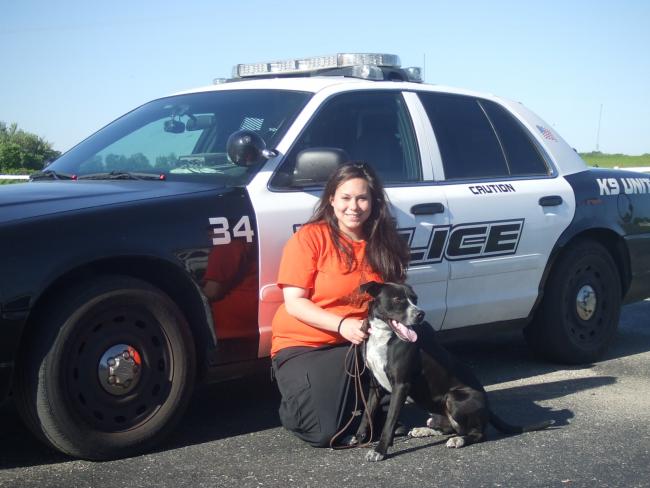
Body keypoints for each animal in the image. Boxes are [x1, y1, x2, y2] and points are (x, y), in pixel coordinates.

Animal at [354, 281, 554, 462]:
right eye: (397, 299)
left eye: (415, 299)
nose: (421, 314)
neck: (384, 336)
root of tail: (488, 407)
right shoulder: (375, 387)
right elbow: (367, 414)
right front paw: (358, 438)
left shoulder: (401, 385)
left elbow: (389, 422)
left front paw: (380, 450)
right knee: (449, 427)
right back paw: (425, 430)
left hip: (454, 398)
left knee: (478, 434)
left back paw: (459, 440)